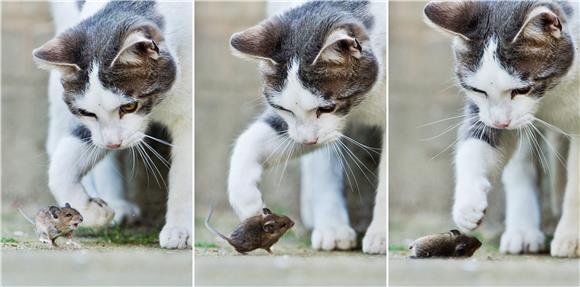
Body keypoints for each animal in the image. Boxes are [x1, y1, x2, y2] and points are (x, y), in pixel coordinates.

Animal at [32, 1, 191, 250]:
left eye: (129, 106)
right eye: (87, 113)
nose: (113, 143)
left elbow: (184, 176)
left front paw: (179, 229)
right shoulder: (91, 129)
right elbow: (61, 167)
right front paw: (90, 211)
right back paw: (114, 204)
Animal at [227, 1, 386, 254]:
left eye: (327, 108)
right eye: (283, 109)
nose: (308, 140)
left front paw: (380, 234)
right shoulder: (298, 129)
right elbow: (250, 141)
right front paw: (249, 204)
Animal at [424, 0, 576, 258]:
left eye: (522, 90)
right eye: (478, 90)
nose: (500, 122)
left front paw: (569, 237)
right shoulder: (485, 113)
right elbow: (475, 143)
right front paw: (467, 204)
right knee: (522, 162)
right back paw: (522, 232)